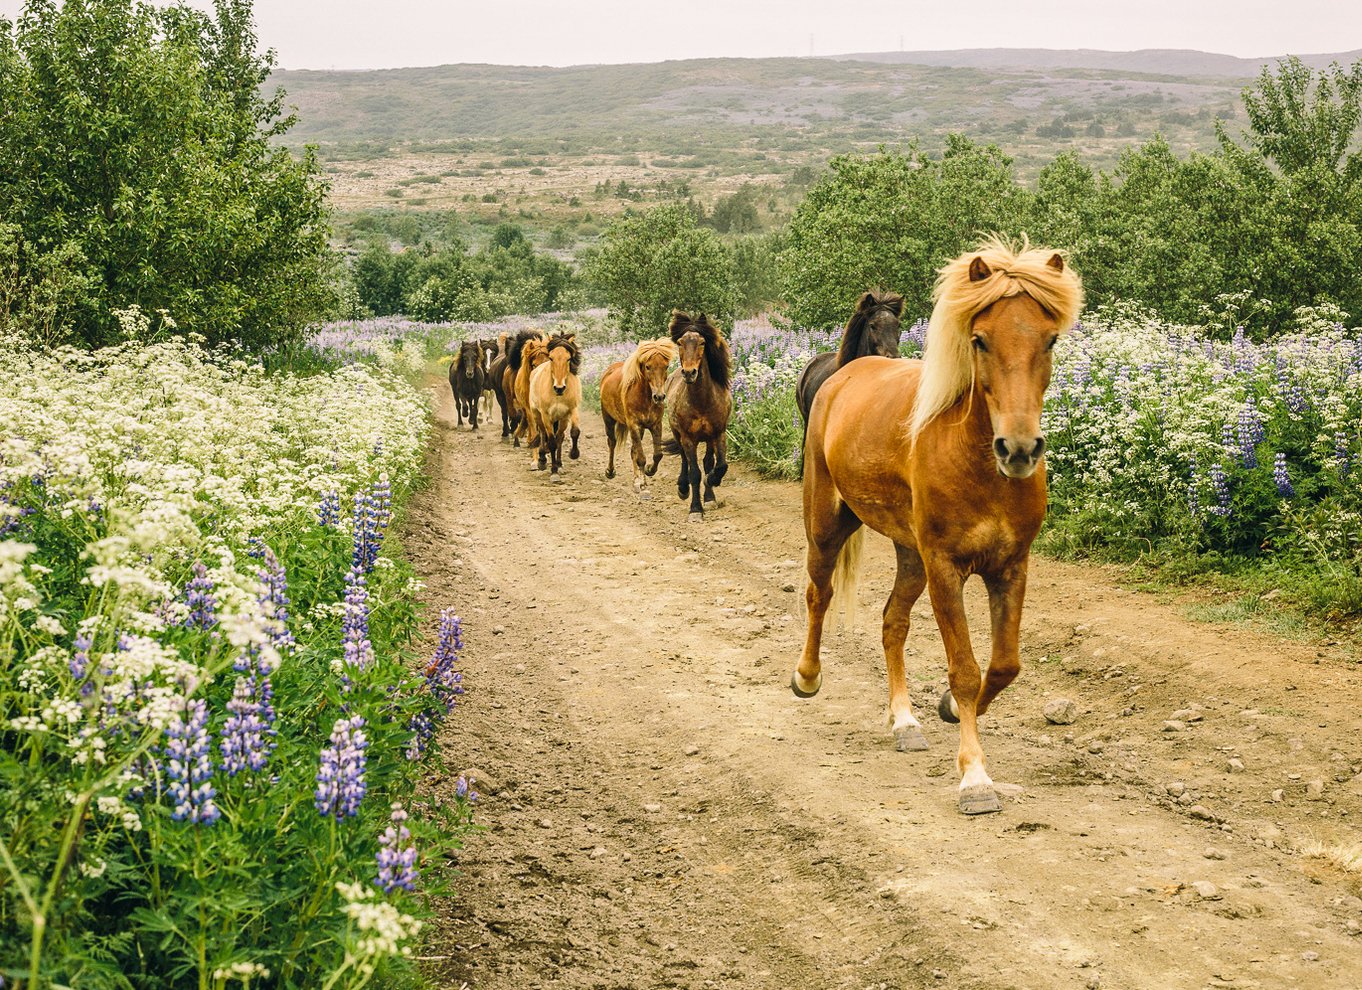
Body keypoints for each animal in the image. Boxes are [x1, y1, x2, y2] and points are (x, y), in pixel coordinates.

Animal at [525, 330, 580, 479]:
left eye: (568, 359)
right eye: (551, 358)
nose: (559, 388)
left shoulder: (570, 411)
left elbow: (574, 432)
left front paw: (573, 454)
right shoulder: (546, 415)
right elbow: (551, 442)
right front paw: (553, 471)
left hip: (561, 419)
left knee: (560, 437)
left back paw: (559, 464)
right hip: (537, 414)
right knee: (542, 433)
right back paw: (542, 460)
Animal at [602, 339, 675, 495]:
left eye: (666, 366)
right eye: (648, 366)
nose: (659, 397)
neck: (645, 397)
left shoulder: (655, 425)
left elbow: (657, 455)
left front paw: (648, 472)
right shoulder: (634, 425)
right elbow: (641, 457)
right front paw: (642, 482)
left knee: (633, 451)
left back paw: (637, 479)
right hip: (608, 419)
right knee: (612, 442)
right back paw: (610, 472)